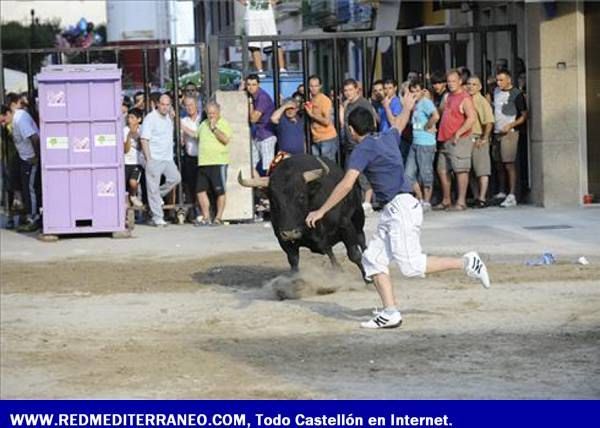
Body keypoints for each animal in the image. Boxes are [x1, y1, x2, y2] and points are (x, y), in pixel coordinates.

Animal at [238, 154, 368, 280]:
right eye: (273, 200)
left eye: (301, 196)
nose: (290, 233)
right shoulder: (282, 240)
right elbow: (294, 262)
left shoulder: (345, 225)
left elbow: (354, 254)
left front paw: (367, 278)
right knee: (329, 251)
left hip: (358, 220)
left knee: (361, 242)